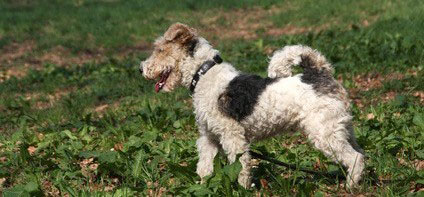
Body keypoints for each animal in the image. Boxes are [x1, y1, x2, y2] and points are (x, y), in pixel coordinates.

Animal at [139, 22, 364, 189]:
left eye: (160, 49)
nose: (141, 69)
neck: (203, 74)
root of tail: (321, 73)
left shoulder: (233, 138)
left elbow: (240, 167)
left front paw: (243, 188)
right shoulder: (208, 137)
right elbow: (204, 167)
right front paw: (203, 186)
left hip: (324, 134)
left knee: (355, 158)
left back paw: (351, 186)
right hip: (342, 128)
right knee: (361, 152)